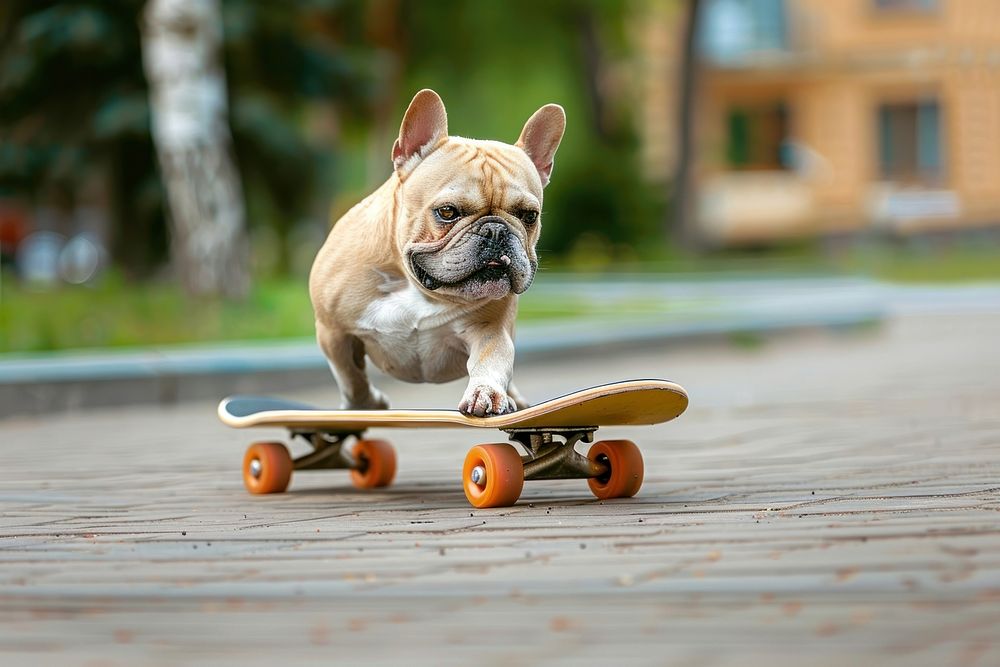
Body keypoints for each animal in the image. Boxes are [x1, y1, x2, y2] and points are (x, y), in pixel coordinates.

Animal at [308, 86, 568, 414]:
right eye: (447, 212)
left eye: (529, 216)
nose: (495, 230)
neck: (419, 288)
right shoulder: (333, 332)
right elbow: (350, 376)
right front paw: (366, 403)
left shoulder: (491, 330)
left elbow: (492, 361)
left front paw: (487, 392)